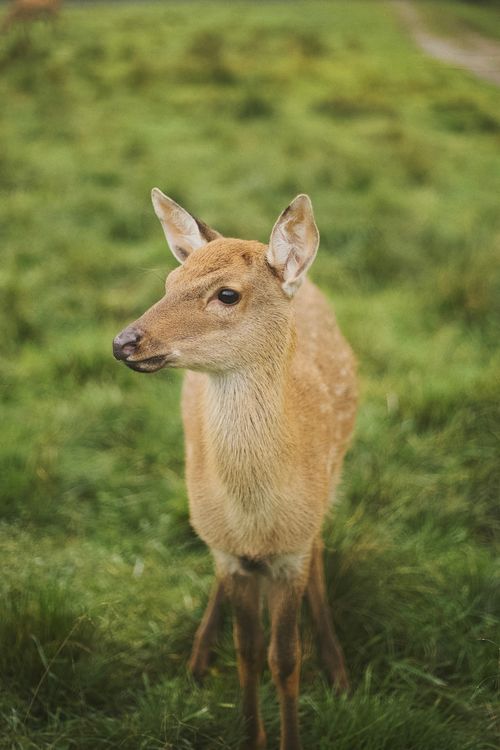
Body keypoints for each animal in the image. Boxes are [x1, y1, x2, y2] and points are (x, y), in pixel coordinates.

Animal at [113, 190, 357, 750]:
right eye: (169, 281)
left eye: (227, 294)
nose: (124, 342)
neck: (257, 521)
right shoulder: (228, 549)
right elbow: (248, 654)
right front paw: (252, 734)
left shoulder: (291, 552)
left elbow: (284, 659)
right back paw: (199, 656)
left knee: (320, 547)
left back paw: (336, 664)